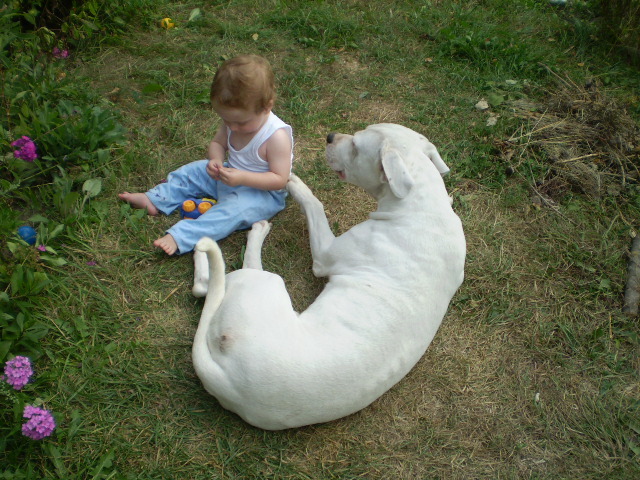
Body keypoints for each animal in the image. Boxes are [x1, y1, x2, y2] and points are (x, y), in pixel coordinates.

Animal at [190, 124, 464, 432]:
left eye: (355, 146)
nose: (330, 137)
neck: (422, 204)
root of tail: (226, 382)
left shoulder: (324, 255)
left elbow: (315, 204)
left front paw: (295, 183)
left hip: (264, 284)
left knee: (209, 284)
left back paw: (242, 236)